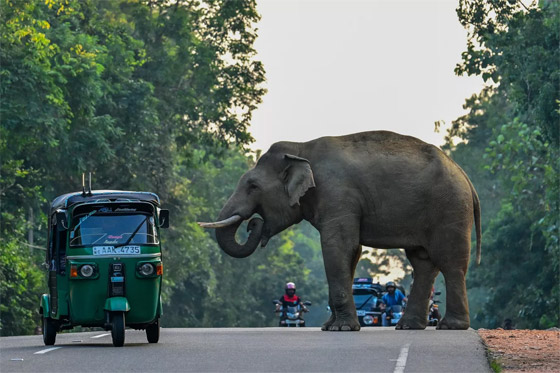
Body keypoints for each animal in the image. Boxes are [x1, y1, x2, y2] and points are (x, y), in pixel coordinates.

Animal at [199, 130, 480, 328]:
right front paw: (329, 327)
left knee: (450, 261)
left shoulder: (337, 194)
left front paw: (341, 328)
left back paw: (450, 326)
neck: (301, 148)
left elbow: (337, 246)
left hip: (450, 208)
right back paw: (408, 327)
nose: (252, 224)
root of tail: (465, 175)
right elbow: (351, 253)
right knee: (422, 263)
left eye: (253, 186)